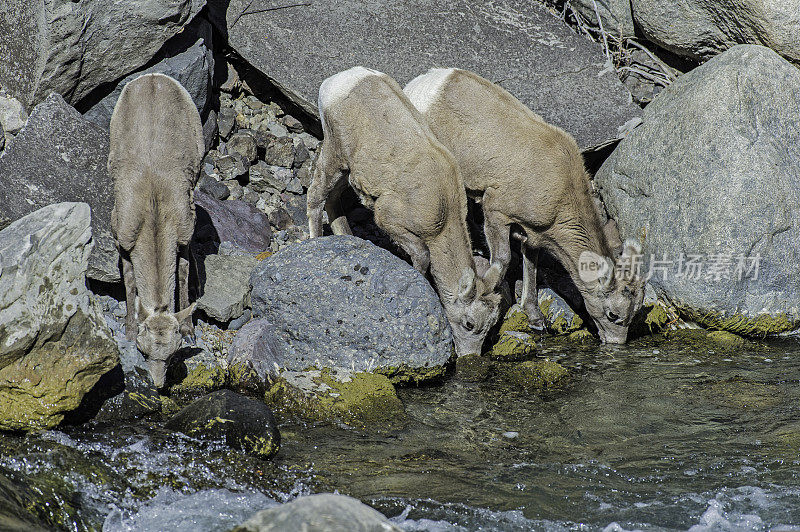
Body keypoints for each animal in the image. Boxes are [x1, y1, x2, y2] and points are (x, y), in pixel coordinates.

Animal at [108, 72, 205, 384]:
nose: (159, 385)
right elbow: (129, 282)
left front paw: (189, 329)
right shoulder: (122, 238)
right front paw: (127, 329)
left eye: (172, 355)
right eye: (144, 351)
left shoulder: (184, 233)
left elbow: (183, 273)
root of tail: (153, 78)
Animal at [306, 67, 500, 358]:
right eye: (469, 324)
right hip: (334, 155)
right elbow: (421, 256)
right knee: (316, 195)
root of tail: (343, 79)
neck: (443, 215)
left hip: (348, 170)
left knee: (333, 201)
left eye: (490, 327)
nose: (470, 357)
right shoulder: (388, 219)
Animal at [406, 68, 644, 342]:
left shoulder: (532, 235)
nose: (616, 344)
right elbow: (503, 260)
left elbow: (531, 266)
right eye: (613, 314)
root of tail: (425, 82)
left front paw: (535, 318)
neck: (561, 191)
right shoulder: (496, 212)